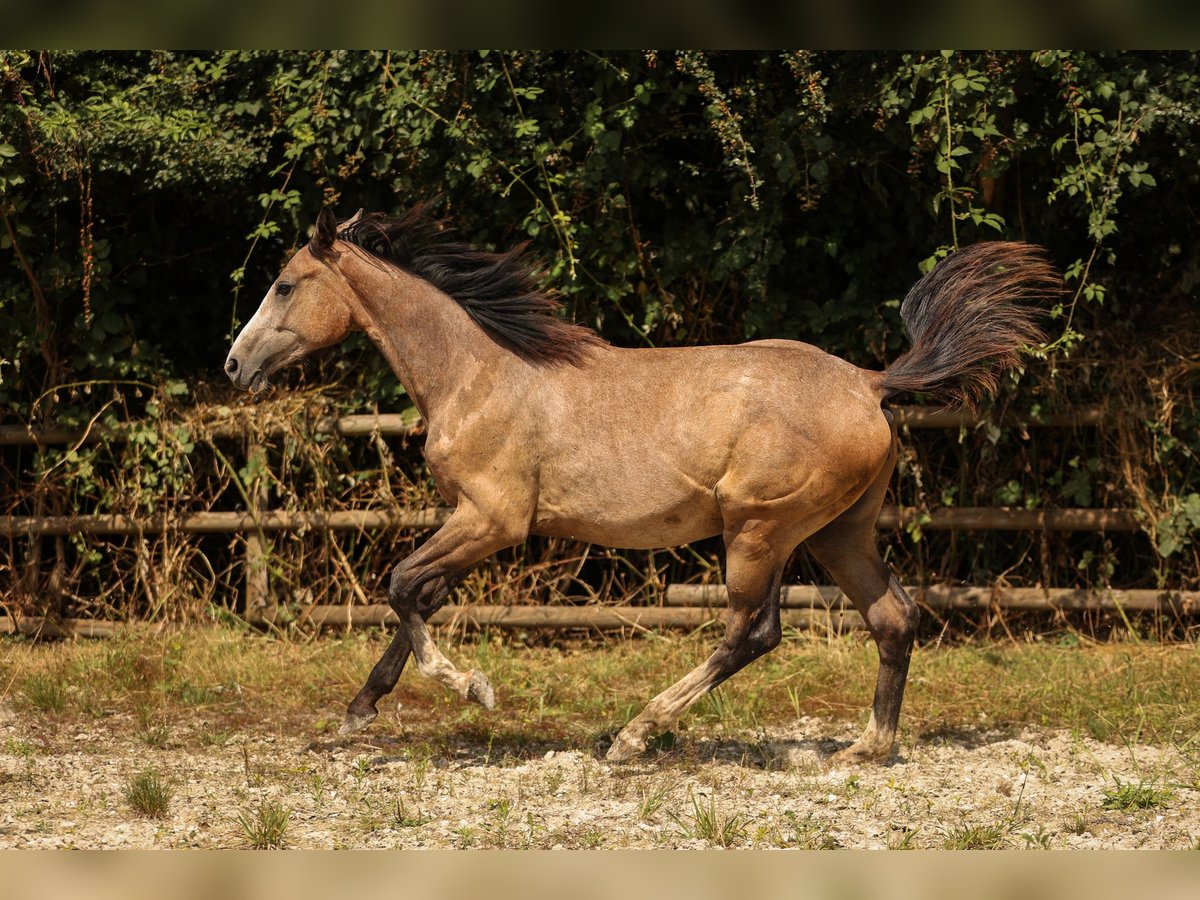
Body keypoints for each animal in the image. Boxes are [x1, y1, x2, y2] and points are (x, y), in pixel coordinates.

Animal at [225, 206, 1060, 768]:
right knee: (894, 616)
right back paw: (865, 748)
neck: (476, 374)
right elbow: (417, 596)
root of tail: (869, 382)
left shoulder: (494, 518)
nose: (234, 364)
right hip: (838, 532)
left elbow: (402, 585)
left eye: (285, 285)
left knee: (754, 631)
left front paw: (473, 689)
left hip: (760, 530)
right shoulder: (473, 521)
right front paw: (359, 710)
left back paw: (634, 734)